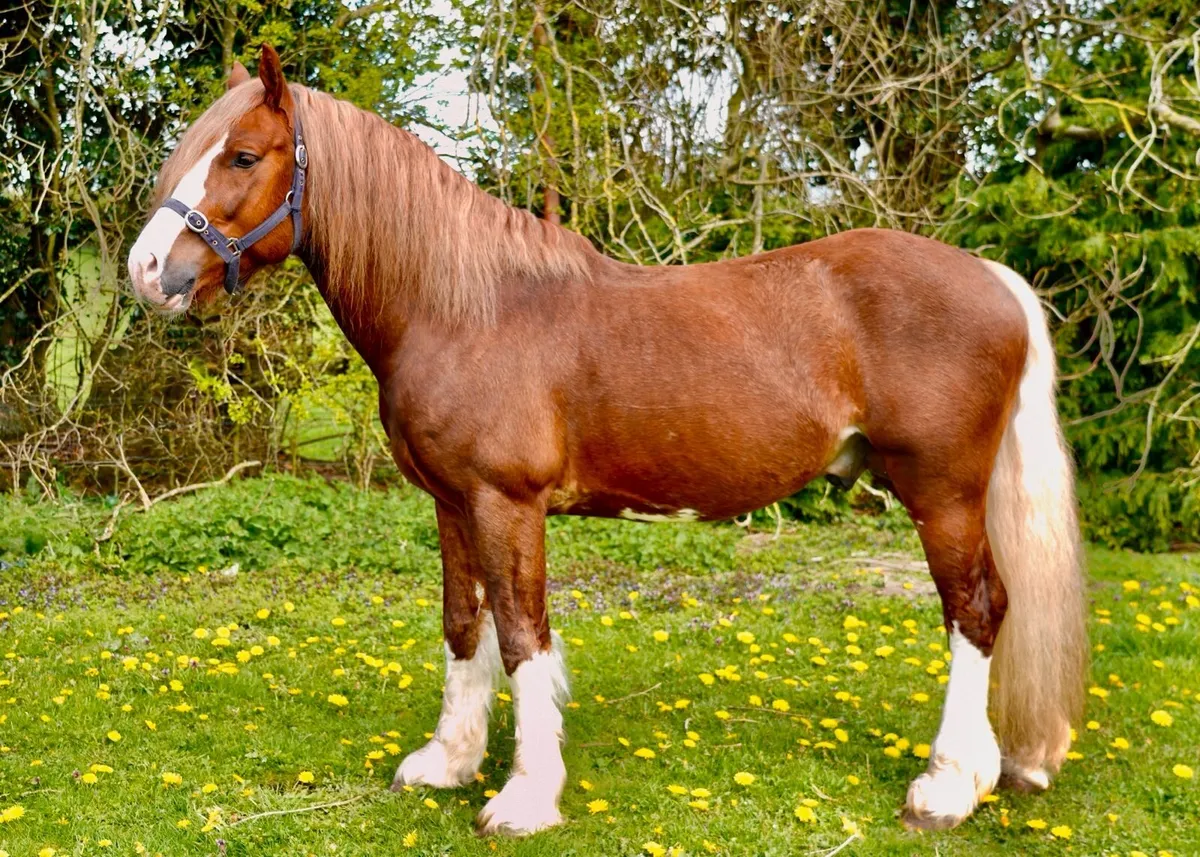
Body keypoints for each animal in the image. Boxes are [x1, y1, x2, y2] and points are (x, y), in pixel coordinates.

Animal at [128, 45, 1087, 836]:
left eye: (244, 156)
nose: (146, 272)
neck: (464, 307)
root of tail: (992, 277)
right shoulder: (451, 503)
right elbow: (464, 624)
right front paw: (448, 762)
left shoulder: (506, 504)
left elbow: (522, 635)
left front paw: (523, 797)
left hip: (942, 493)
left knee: (976, 611)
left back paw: (949, 786)